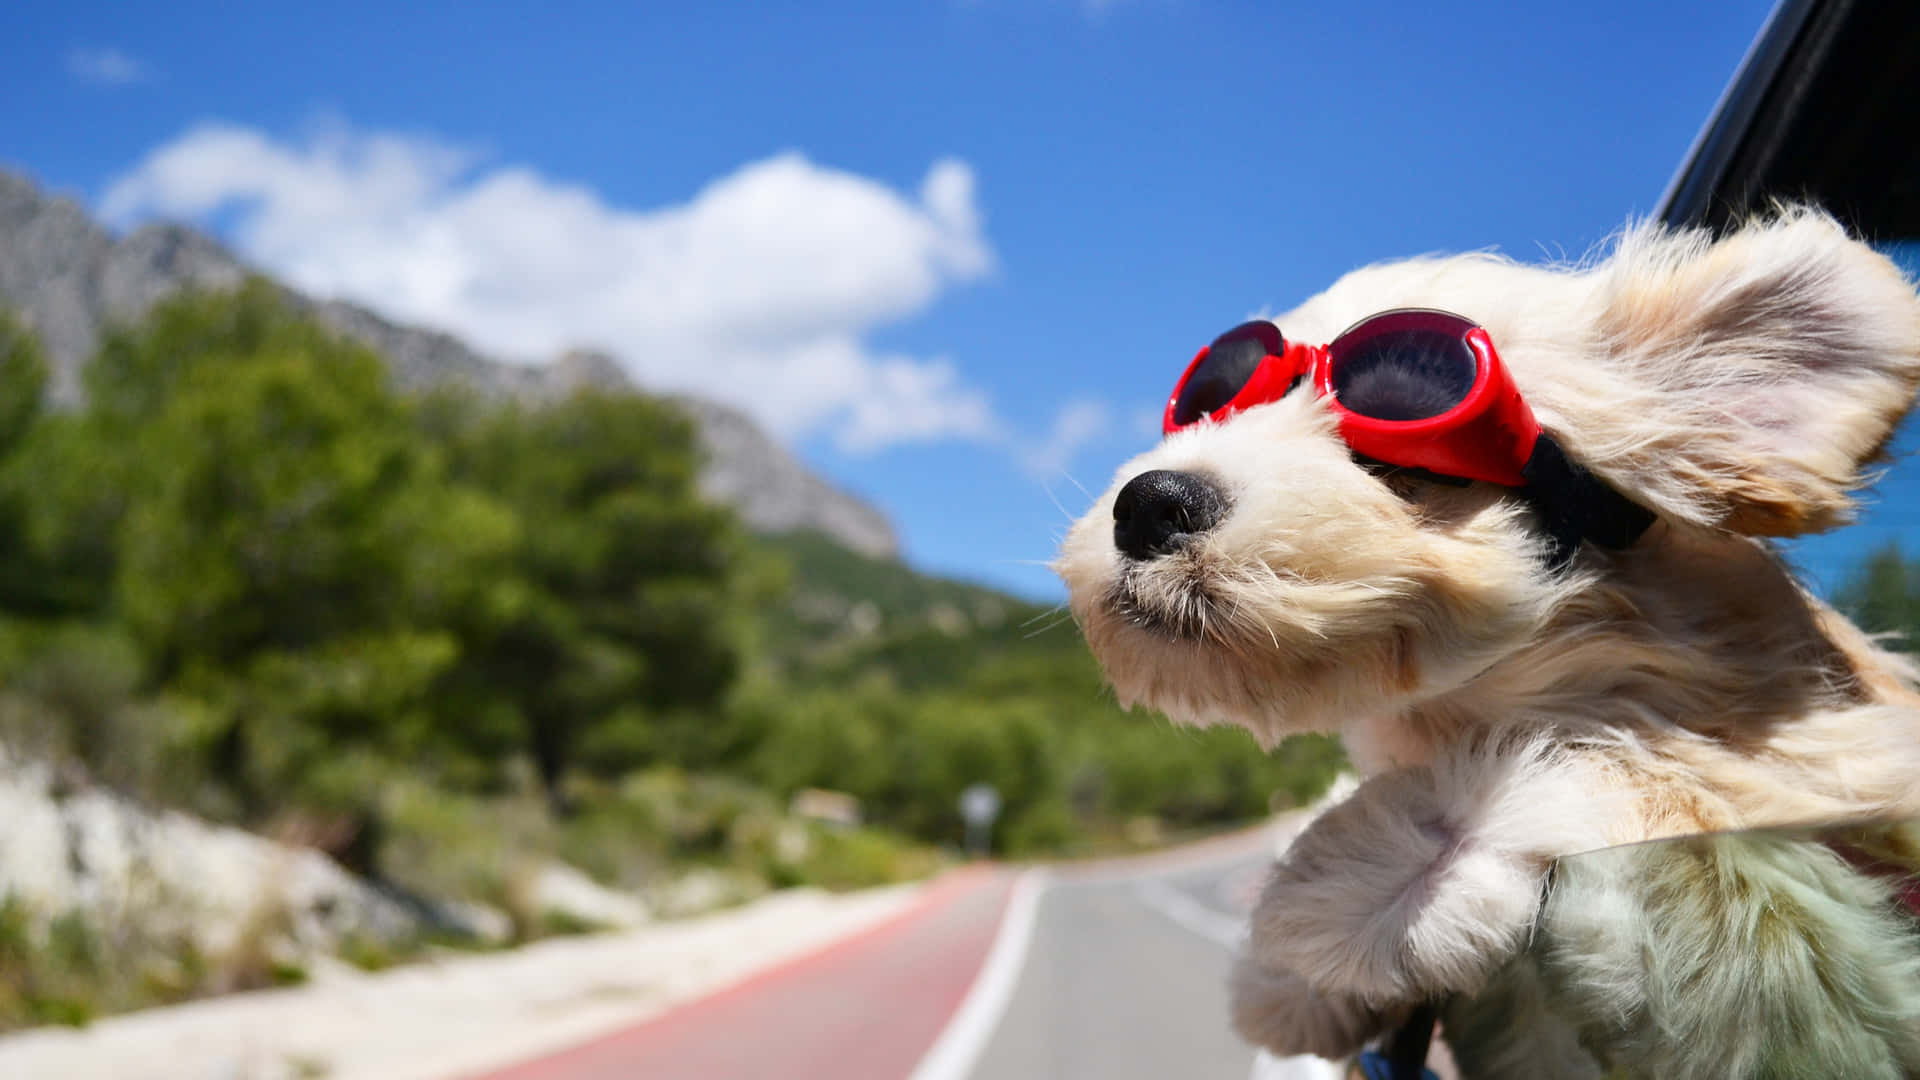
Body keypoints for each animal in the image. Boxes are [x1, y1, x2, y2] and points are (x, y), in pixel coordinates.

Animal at [1059, 205, 1920, 1068]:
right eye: (1209, 401)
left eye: (1405, 453)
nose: (1149, 504)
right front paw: (1295, 979)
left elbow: (1661, 778)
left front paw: (1373, 874)